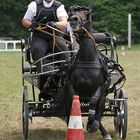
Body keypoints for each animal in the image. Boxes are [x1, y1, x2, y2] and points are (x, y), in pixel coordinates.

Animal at [64, 4, 111, 139]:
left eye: (86, 13)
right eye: (71, 14)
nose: (73, 20)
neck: (87, 59)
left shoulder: (100, 87)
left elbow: (94, 102)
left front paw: (91, 123)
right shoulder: (71, 86)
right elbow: (73, 103)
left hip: (103, 97)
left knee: (99, 111)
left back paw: (103, 131)